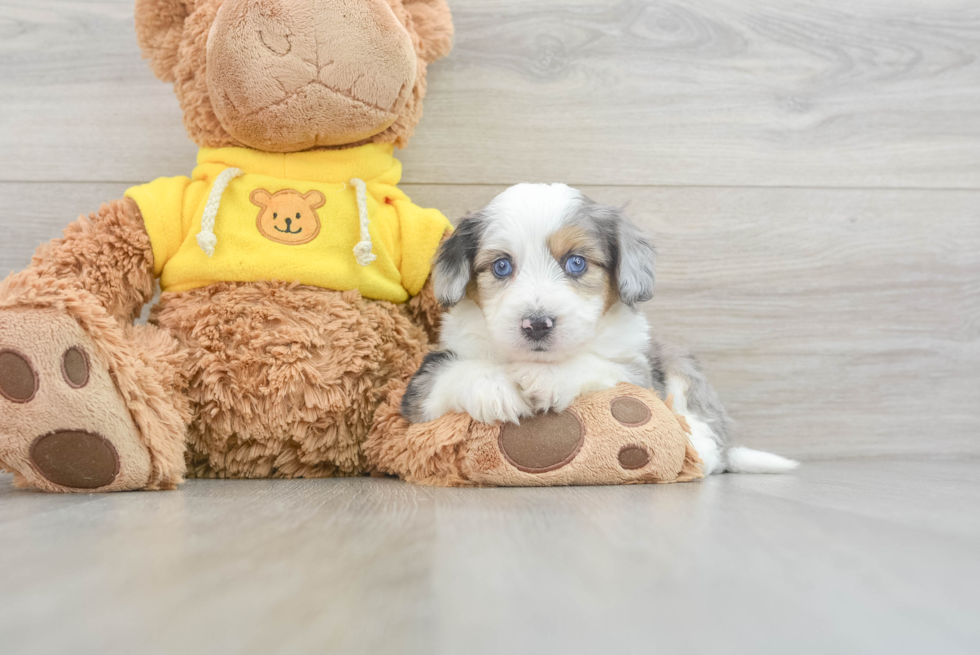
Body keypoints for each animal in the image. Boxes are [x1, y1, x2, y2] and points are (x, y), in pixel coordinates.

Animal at [402, 182, 800, 474]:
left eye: (576, 262)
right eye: (501, 266)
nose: (537, 324)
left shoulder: (638, 372)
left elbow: (598, 364)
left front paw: (548, 377)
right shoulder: (422, 387)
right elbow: (452, 375)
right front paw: (493, 389)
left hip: (680, 365)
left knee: (707, 431)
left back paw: (697, 452)